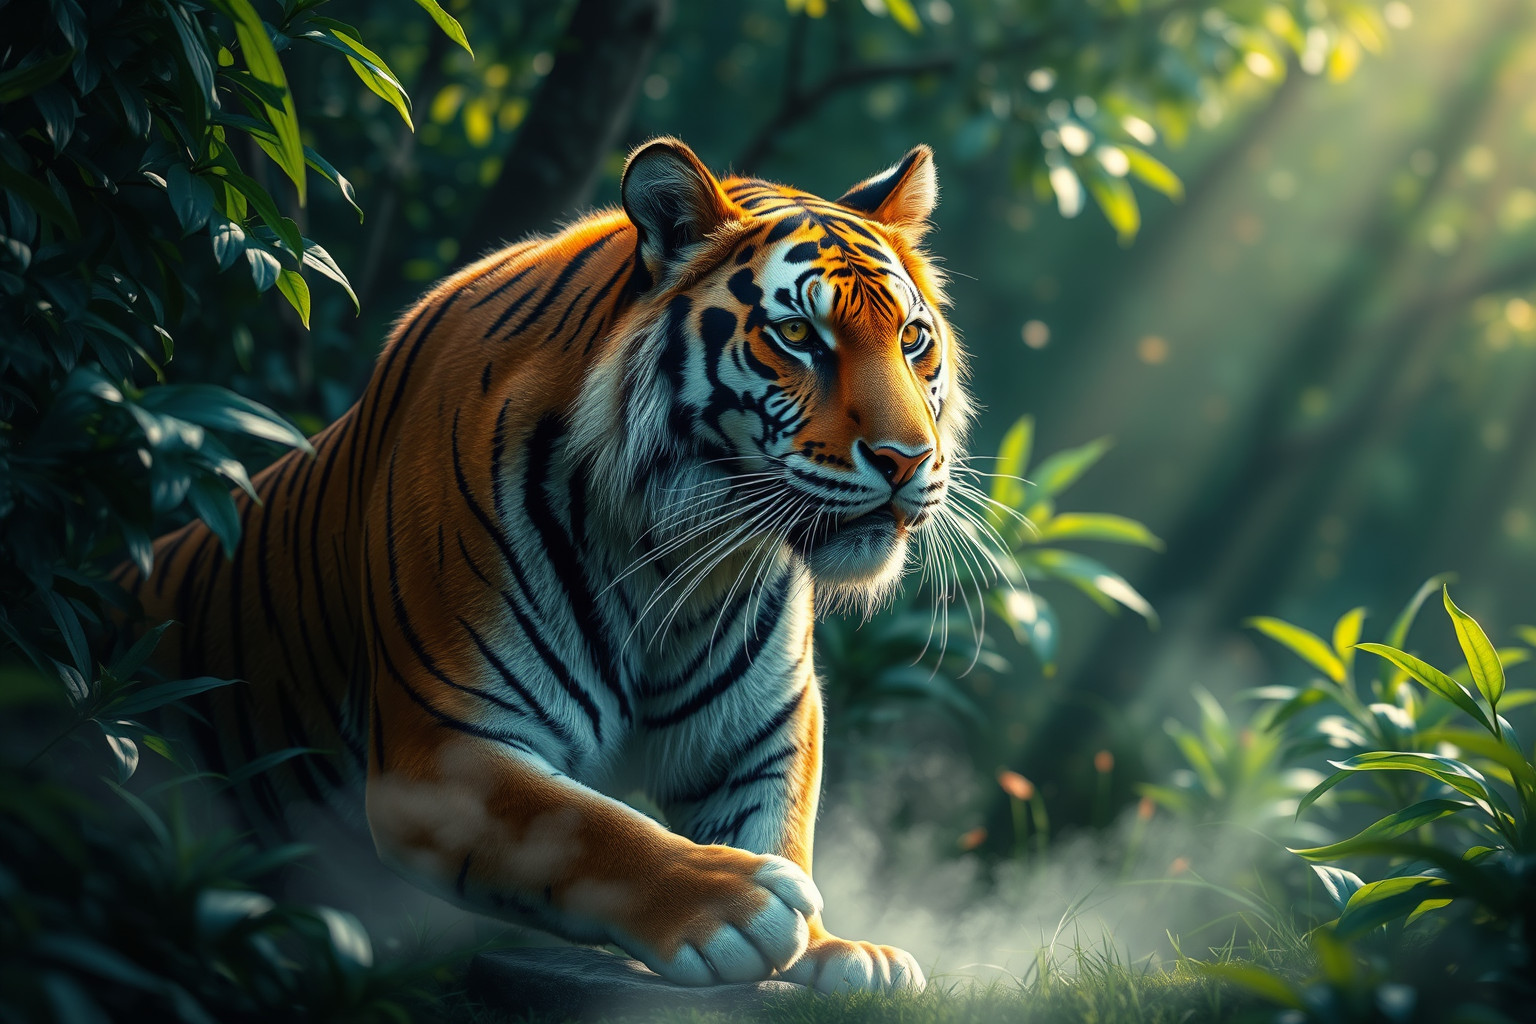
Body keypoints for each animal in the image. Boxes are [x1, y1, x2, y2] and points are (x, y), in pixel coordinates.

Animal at [123, 138, 970, 993]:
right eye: (798, 334)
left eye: (911, 338)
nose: (908, 459)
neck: (684, 560)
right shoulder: (443, 750)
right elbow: (582, 824)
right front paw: (736, 903)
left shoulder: (762, 728)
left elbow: (779, 822)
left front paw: (839, 950)